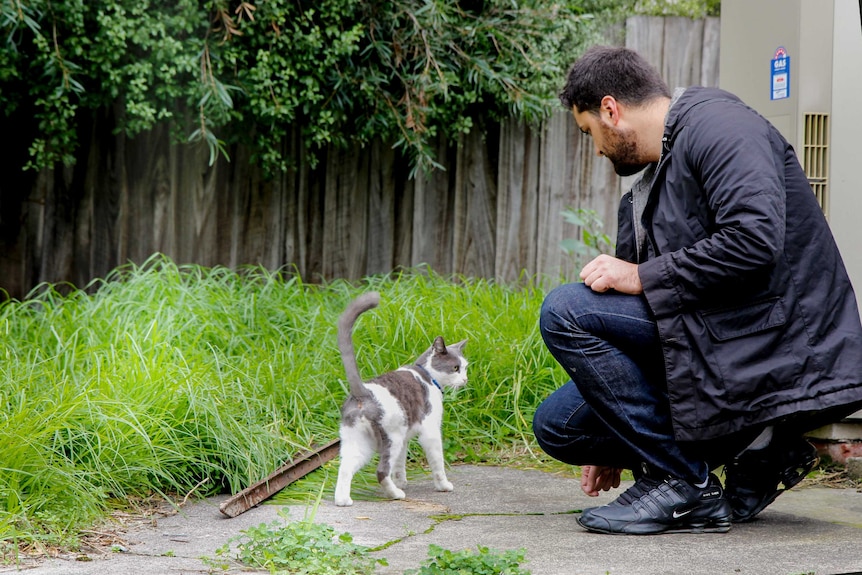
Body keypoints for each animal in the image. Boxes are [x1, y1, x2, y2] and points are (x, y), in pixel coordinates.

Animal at [334, 292, 470, 508]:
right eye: (455, 368)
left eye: (465, 368)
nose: (465, 379)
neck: (428, 376)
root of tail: (364, 392)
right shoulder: (430, 431)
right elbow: (437, 462)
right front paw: (443, 485)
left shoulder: (406, 437)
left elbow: (400, 464)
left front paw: (401, 481)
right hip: (392, 437)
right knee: (381, 471)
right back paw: (395, 494)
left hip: (357, 441)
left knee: (346, 468)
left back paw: (343, 500)